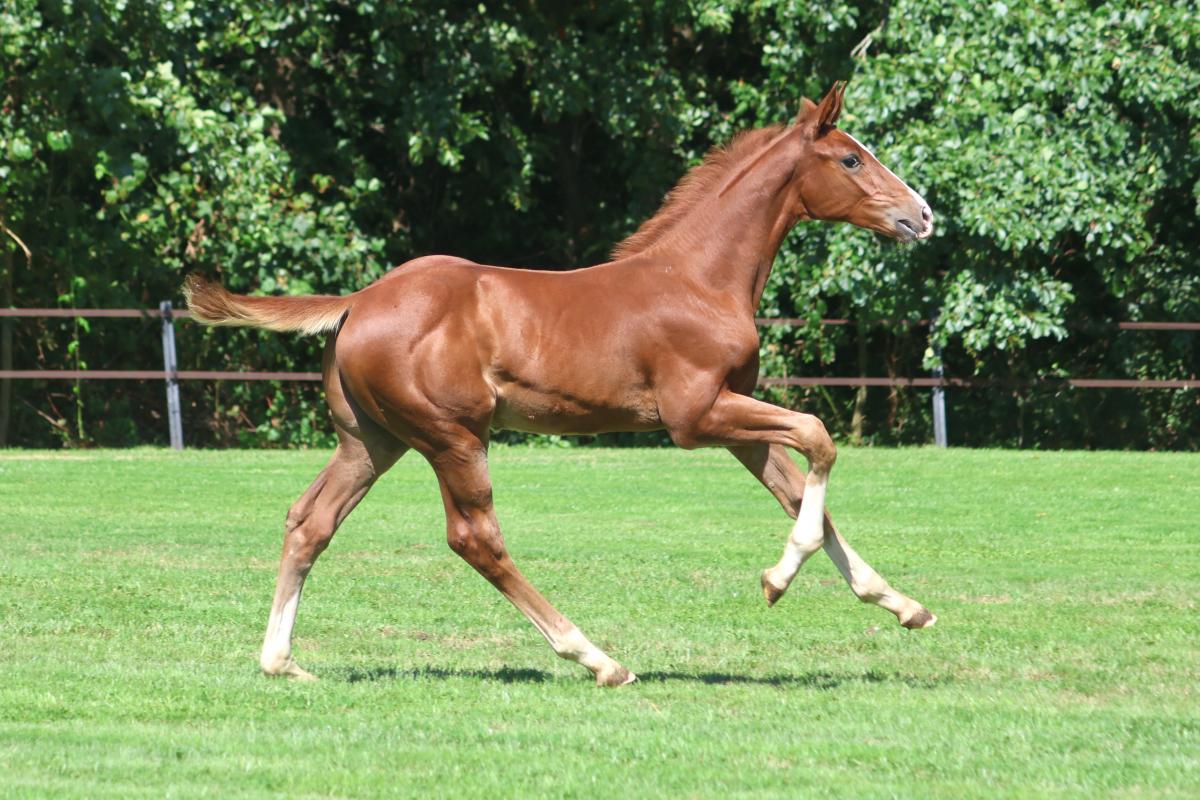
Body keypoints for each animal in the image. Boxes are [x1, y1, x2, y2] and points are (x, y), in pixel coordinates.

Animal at [184, 82, 936, 687]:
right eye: (851, 159)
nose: (922, 215)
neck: (698, 279)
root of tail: (358, 302)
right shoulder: (696, 417)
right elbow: (819, 437)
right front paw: (777, 581)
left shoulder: (732, 423)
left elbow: (801, 491)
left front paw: (901, 603)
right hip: (453, 437)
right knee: (475, 538)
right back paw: (599, 659)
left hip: (370, 441)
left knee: (310, 521)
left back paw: (281, 661)